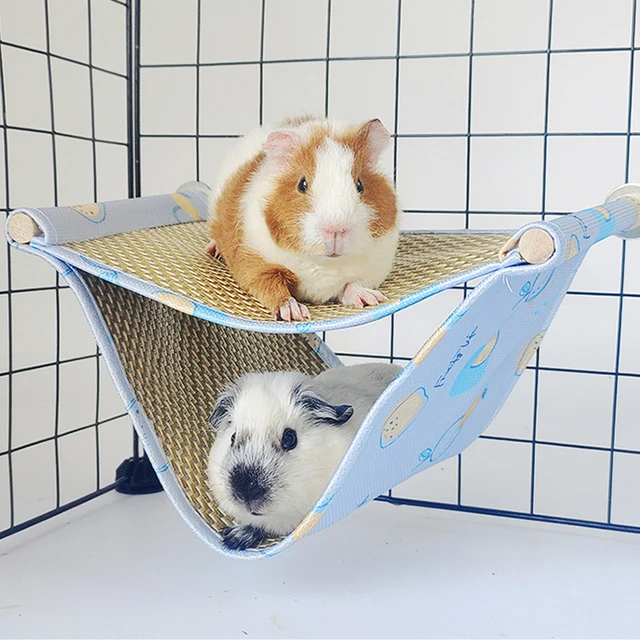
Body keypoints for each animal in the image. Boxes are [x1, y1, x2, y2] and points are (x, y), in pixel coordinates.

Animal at [206, 116, 401, 321]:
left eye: (360, 185)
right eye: (302, 184)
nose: (335, 230)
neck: (324, 264)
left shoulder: (375, 269)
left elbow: (353, 284)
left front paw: (372, 299)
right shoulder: (255, 262)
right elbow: (272, 288)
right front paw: (295, 314)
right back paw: (213, 251)